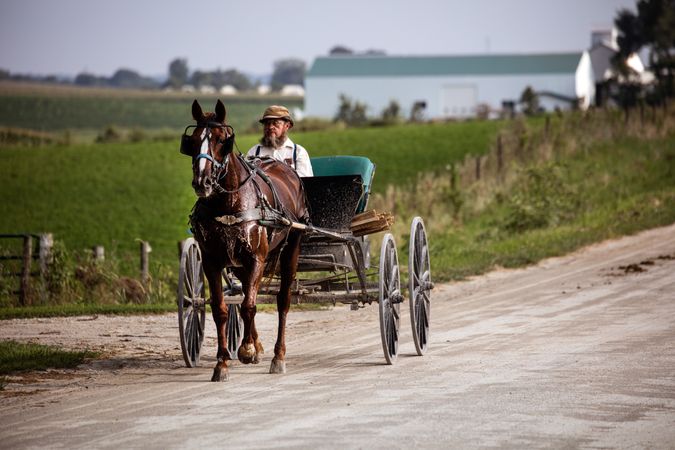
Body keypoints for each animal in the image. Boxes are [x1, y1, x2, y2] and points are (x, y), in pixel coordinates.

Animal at [180, 100, 306, 382]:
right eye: (192, 141)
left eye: (221, 140)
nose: (202, 182)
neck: (228, 203)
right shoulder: (212, 261)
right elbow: (221, 309)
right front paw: (222, 363)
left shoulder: (256, 257)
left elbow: (249, 305)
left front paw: (247, 349)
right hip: (238, 265)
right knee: (246, 291)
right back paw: (257, 345)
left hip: (290, 249)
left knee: (282, 300)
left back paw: (277, 355)